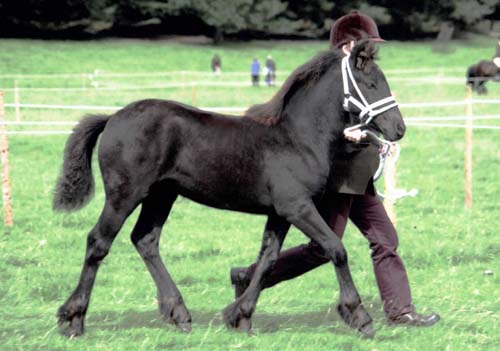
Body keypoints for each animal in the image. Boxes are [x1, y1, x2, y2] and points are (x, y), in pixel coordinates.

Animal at [54, 40, 404, 338]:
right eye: (371, 84)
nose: (399, 128)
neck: (296, 138)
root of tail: (112, 117)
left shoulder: (280, 213)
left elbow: (268, 260)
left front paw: (240, 316)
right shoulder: (297, 207)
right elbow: (336, 248)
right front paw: (359, 316)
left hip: (161, 195)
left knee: (145, 240)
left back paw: (179, 314)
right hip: (124, 195)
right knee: (98, 242)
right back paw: (74, 319)